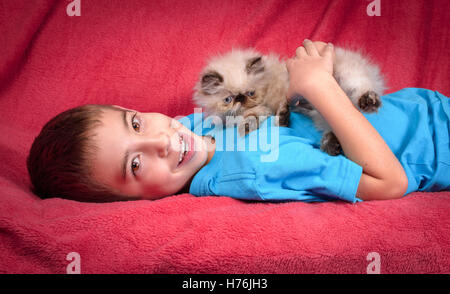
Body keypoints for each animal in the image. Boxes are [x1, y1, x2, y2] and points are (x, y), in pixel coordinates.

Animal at [192, 47, 384, 155]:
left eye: (250, 93)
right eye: (228, 99)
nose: (241, 99)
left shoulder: (267, 105)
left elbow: (253, 117)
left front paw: (246, 128)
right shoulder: (261, 110)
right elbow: (252, 117)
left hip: (347, 78)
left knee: (360, 88)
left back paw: (369, 102)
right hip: (324, 113)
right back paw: (331, 145)